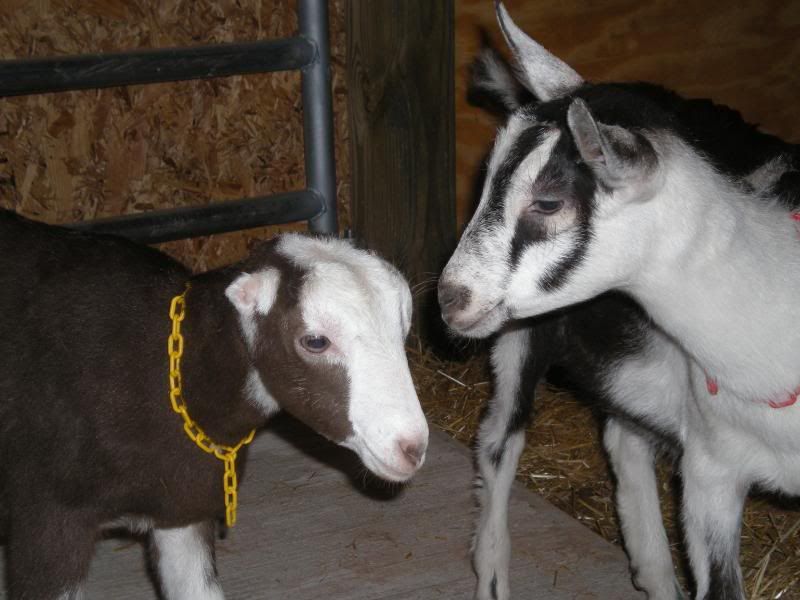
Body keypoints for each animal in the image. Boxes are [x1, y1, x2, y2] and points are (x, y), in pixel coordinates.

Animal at [438, 3, 800, 600]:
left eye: (548, 202)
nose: (450, 298)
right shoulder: (711, 472)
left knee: (621, 434)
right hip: (521, 336)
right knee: (499, 441)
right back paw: (493, 571)